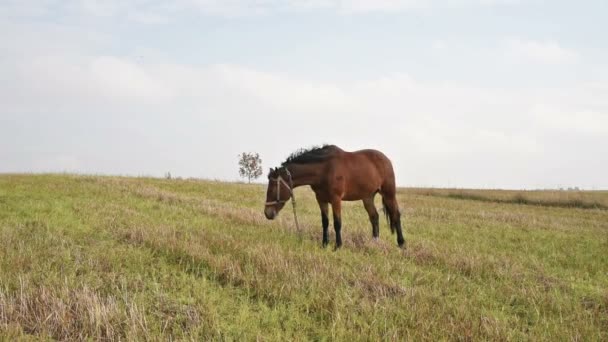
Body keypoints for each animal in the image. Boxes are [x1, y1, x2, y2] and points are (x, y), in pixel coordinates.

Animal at [264, 144, 406, 248]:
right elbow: (325, 222)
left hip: (389, 194)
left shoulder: (336, 199)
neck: (324, 169)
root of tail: (386, 159)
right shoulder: (321, 200)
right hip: (367, 197)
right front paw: (324, 244)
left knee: (396, 215)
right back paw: (374, 242)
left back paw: (401, 243)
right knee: (374, 217)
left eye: (274, 187)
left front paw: (338, 246)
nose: (267, 213)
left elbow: (337, 222)